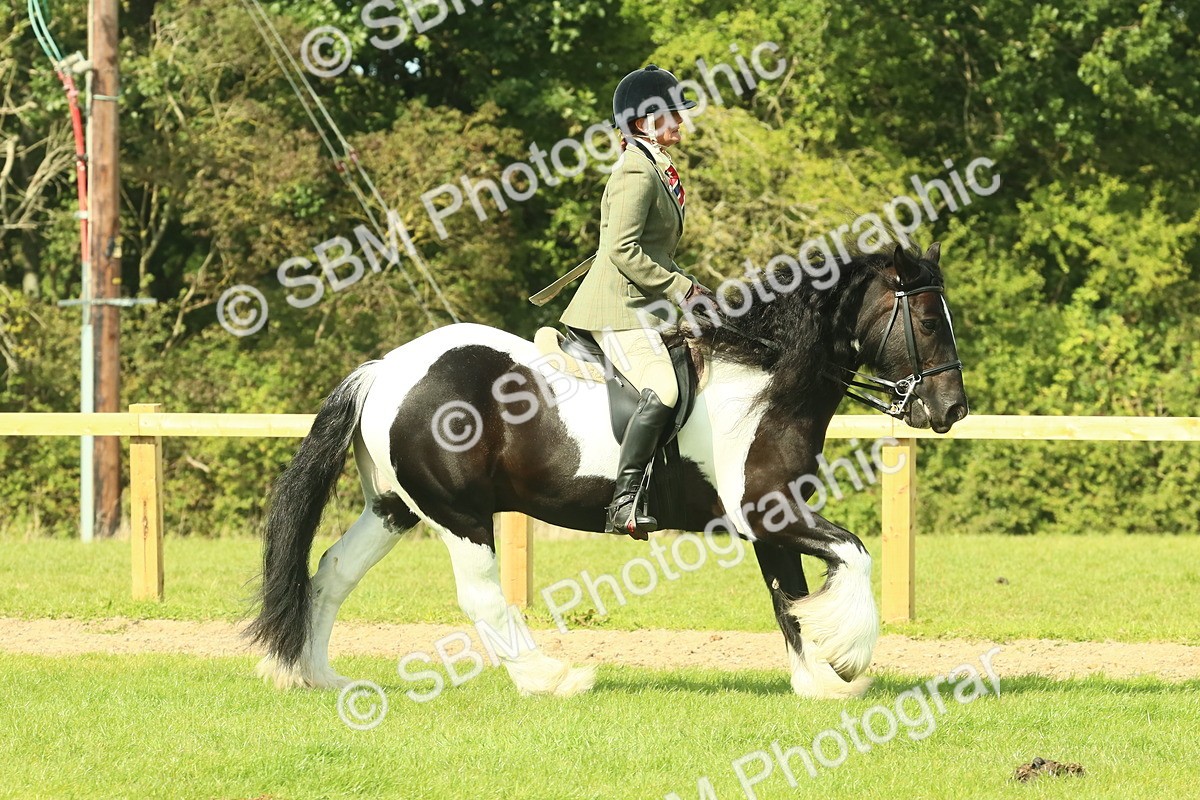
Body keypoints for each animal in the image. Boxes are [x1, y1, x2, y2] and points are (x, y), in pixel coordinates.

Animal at [247, 242, 968, 699]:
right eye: (928, 320)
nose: (952, 409)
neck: (765, 383)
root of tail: (385, 371)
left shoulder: (772, 518)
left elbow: (788, 599)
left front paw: (819, 680)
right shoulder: (769, 513)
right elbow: (853, 554)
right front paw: (851, 655)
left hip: (394, 509)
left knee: (332, 572)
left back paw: (318, 676)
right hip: (460, 516)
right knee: (482, 598)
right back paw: (551, 679)